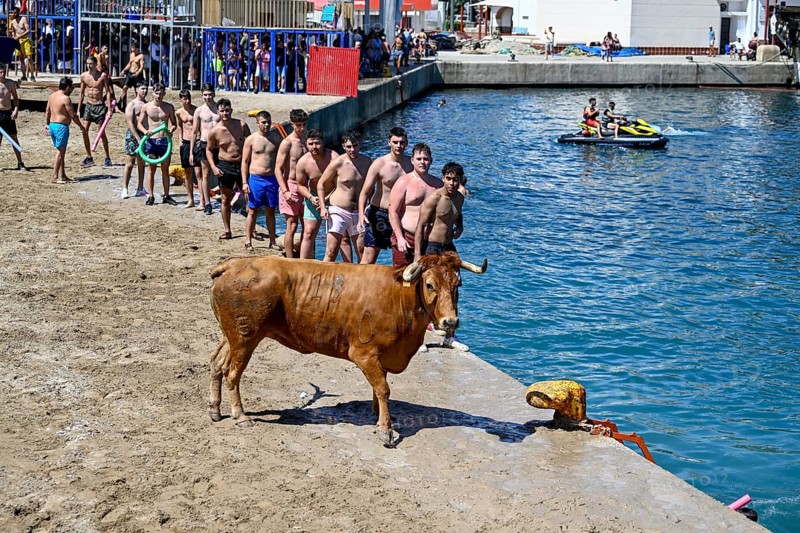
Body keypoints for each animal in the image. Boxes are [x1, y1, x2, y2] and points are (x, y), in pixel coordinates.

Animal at [208, 251, 487, 445]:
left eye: (457, 285)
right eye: (429, 285)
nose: (450, 322)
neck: (399, 296)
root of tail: (234, 264)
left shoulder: (383, 356)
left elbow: (379, 387)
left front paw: (377, 415)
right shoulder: (364, 353)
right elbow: (384, 388)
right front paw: (385, 430)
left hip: (230, 337)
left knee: (217, 364)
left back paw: (215, 409)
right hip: (245, 339)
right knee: (233, 373)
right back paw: (240, 416)